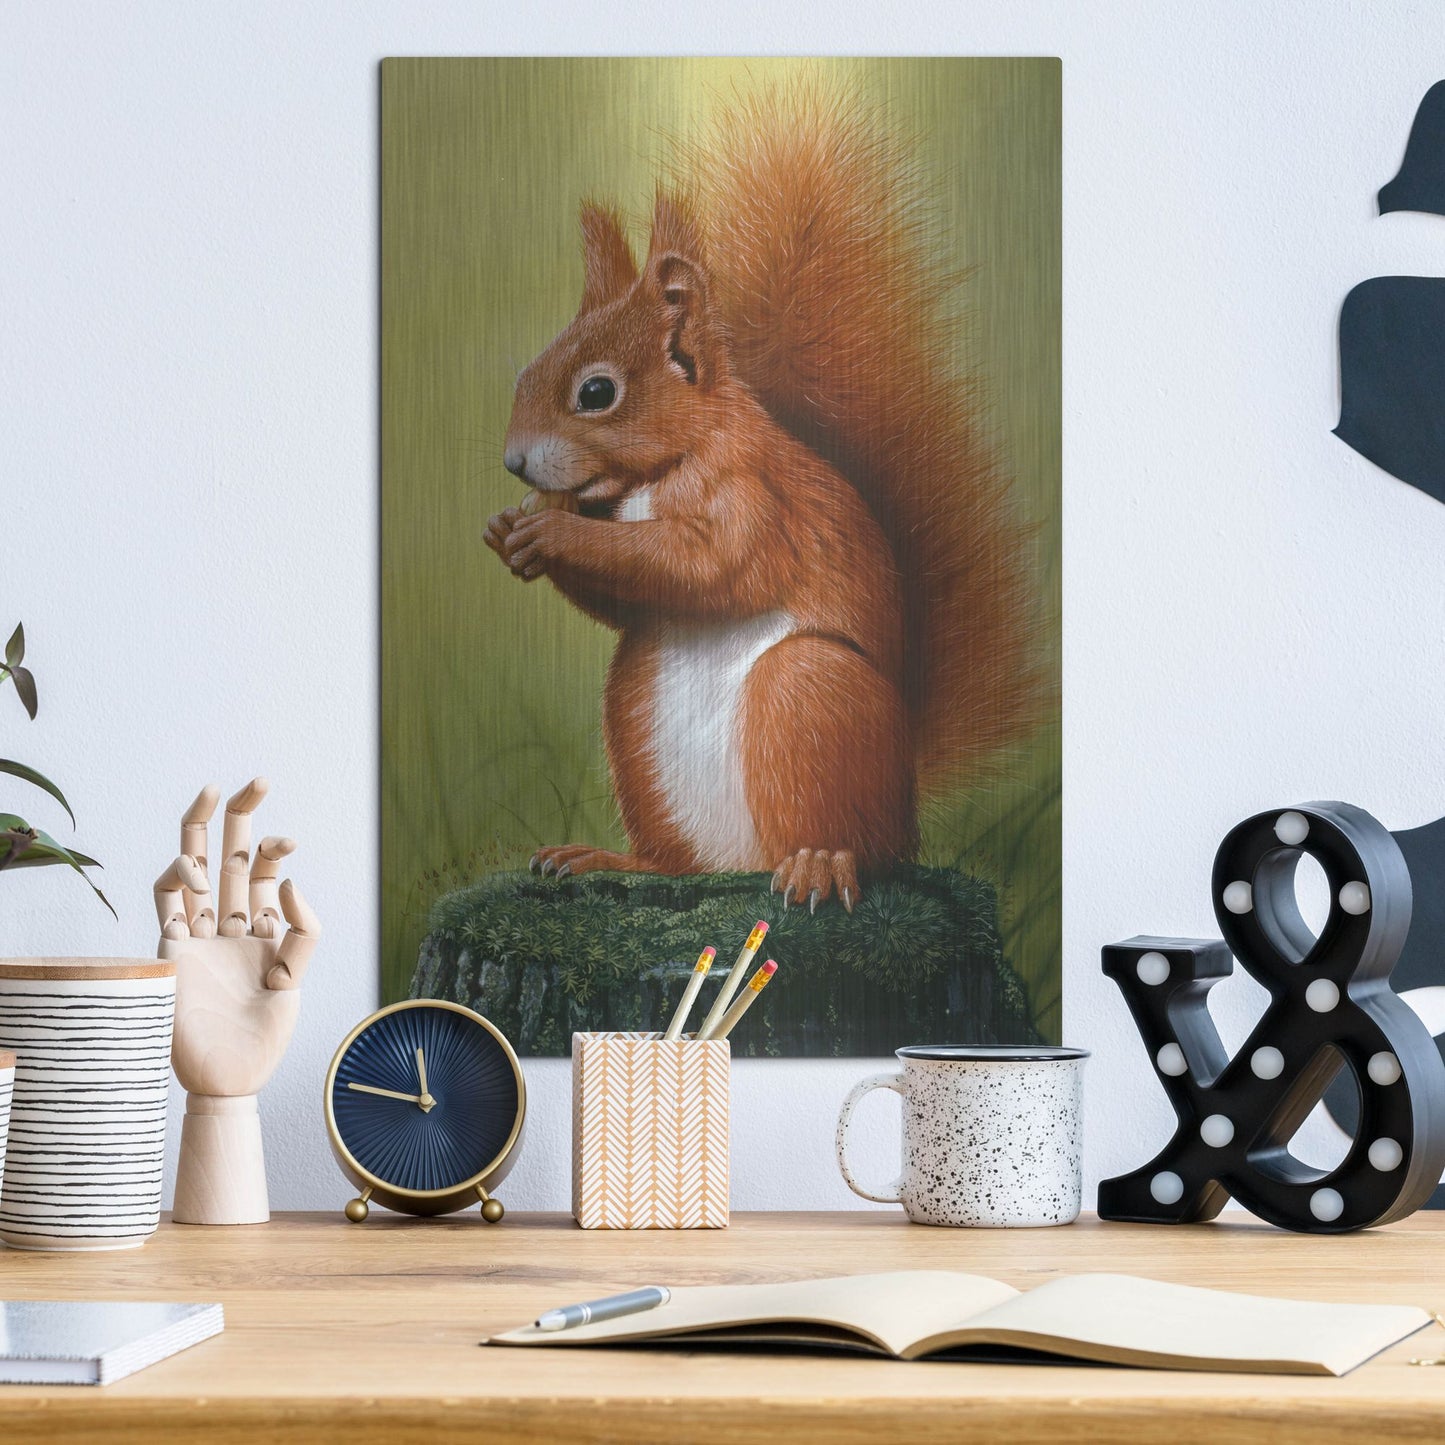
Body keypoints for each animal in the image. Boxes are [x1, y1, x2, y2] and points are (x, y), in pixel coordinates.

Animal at [485, 78, 1038, 912]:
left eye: (596, 392)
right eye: (525, 371)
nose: (514, 463)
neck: (658, 473)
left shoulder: (752, 496)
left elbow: (712, 566)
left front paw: (553, 533)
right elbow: (624, 600)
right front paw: (511, 533)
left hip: (807, 695)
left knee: (856, 842)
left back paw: (819, 863)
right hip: (634, 718)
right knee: (680, 862)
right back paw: (611, 858)